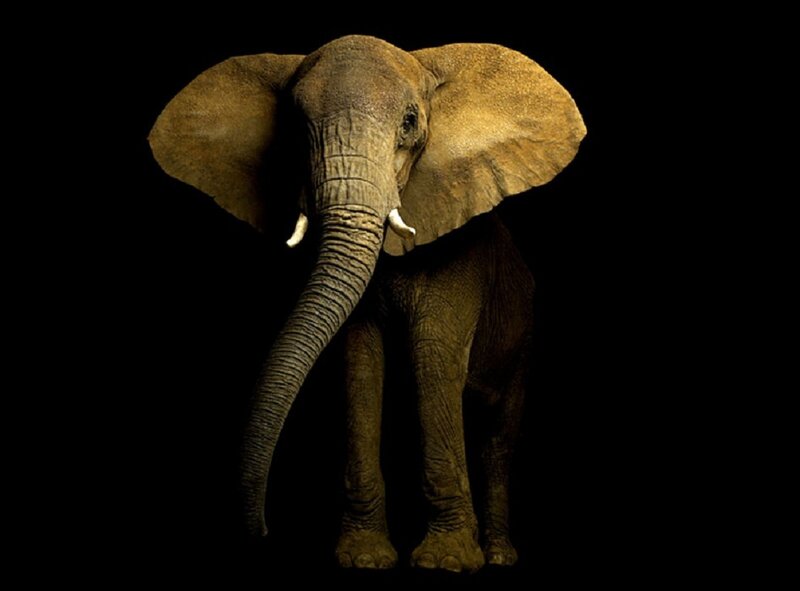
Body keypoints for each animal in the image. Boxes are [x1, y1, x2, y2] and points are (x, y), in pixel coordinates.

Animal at [149, 35, 585, 573]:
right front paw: (364, 558)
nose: (263, 534)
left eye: (410, 123)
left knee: (498, 439)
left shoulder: (460, 258)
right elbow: (358, 363)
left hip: (526, 333)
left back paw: (500, 556)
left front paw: (446, 562)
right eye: (294, 128)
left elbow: (434, 361)